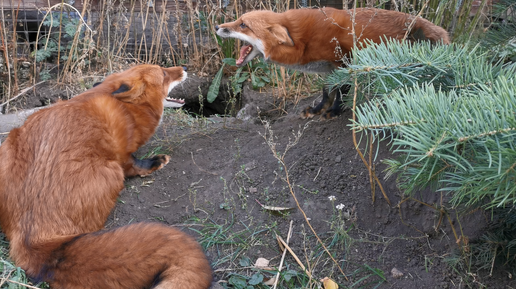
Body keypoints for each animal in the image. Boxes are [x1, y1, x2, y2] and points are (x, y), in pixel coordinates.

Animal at [0, 65, 212, 288]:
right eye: (163, 73)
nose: (184, 67)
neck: (126, 111)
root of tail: (29, 236)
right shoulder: (123, 155)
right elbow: (135, 166)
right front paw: (155, 162)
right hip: (112, 172)